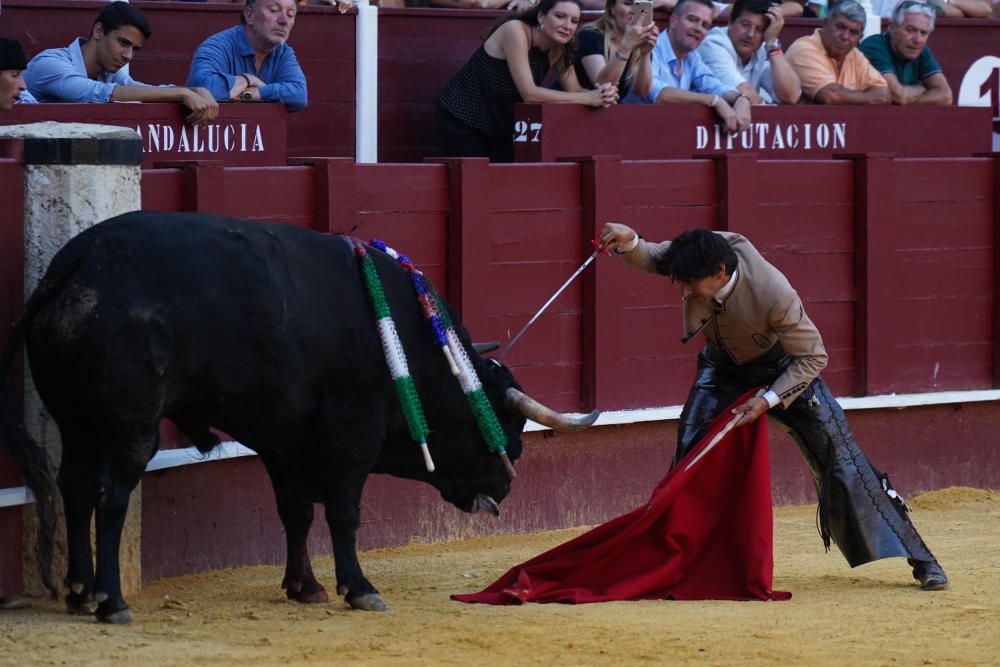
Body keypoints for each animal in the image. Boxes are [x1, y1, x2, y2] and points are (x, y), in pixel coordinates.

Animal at [0, 214, 596, 628]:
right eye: (506, 430)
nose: (507, 484)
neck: (414, 344)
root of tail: (72, 267)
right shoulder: (351, 436)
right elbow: (343, 514)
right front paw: (359, 588)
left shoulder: (281, 439)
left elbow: (296, 512)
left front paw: (304, 587)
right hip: (131, 428)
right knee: (112, 498)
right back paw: (112, 601)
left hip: (76, 420)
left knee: (75, 488)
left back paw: (79, 592)